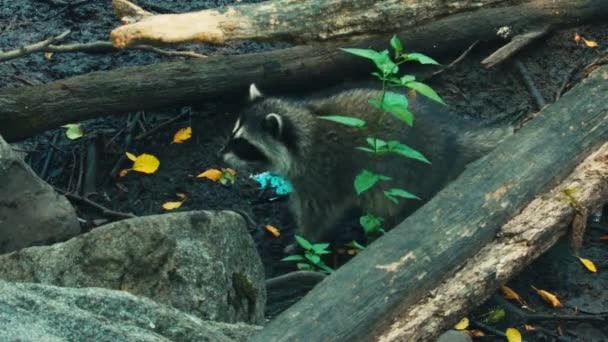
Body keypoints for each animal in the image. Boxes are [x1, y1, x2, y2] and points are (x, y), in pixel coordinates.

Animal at [220, 84, 512, 246]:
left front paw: (304, 241)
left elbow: (318, 213)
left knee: (387, 201)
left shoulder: (320, 174)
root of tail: (449, 139)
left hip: (402, 171)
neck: (306, 123)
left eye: (244, 144)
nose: (221, 155)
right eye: (233, 133)